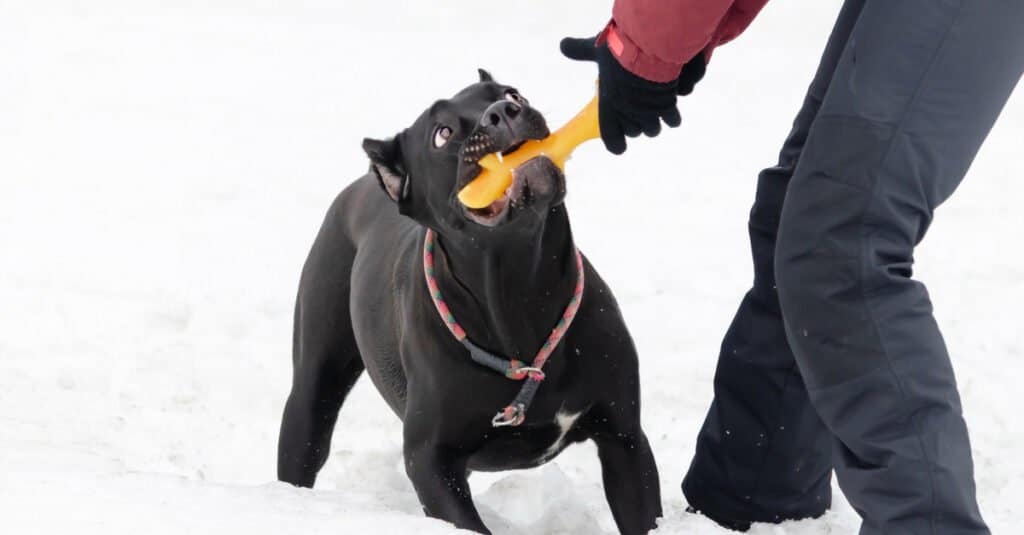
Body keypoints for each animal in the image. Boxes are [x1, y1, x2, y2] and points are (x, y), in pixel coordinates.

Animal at [278, 70, 663, 532]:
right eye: (442, 134)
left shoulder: (624, 438)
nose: (502, 112)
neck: (519, 284)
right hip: (314, 388)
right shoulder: (430, 460)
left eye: (511, 93)